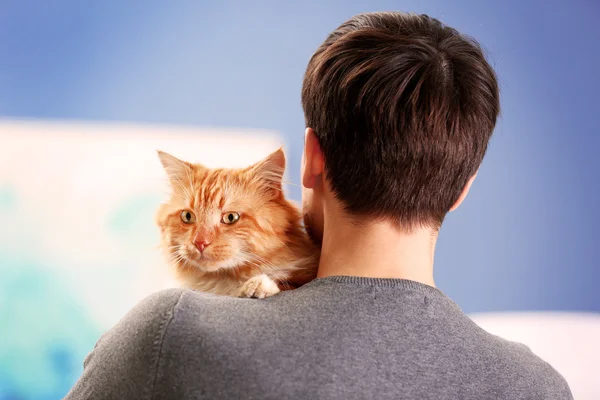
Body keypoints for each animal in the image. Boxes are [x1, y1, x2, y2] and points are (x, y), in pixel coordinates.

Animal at [157, 149, 322, 296]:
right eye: (187, 216)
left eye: (231, 217)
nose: (200, 243)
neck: (220, 285)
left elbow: (284, 284)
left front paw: (258, 285)